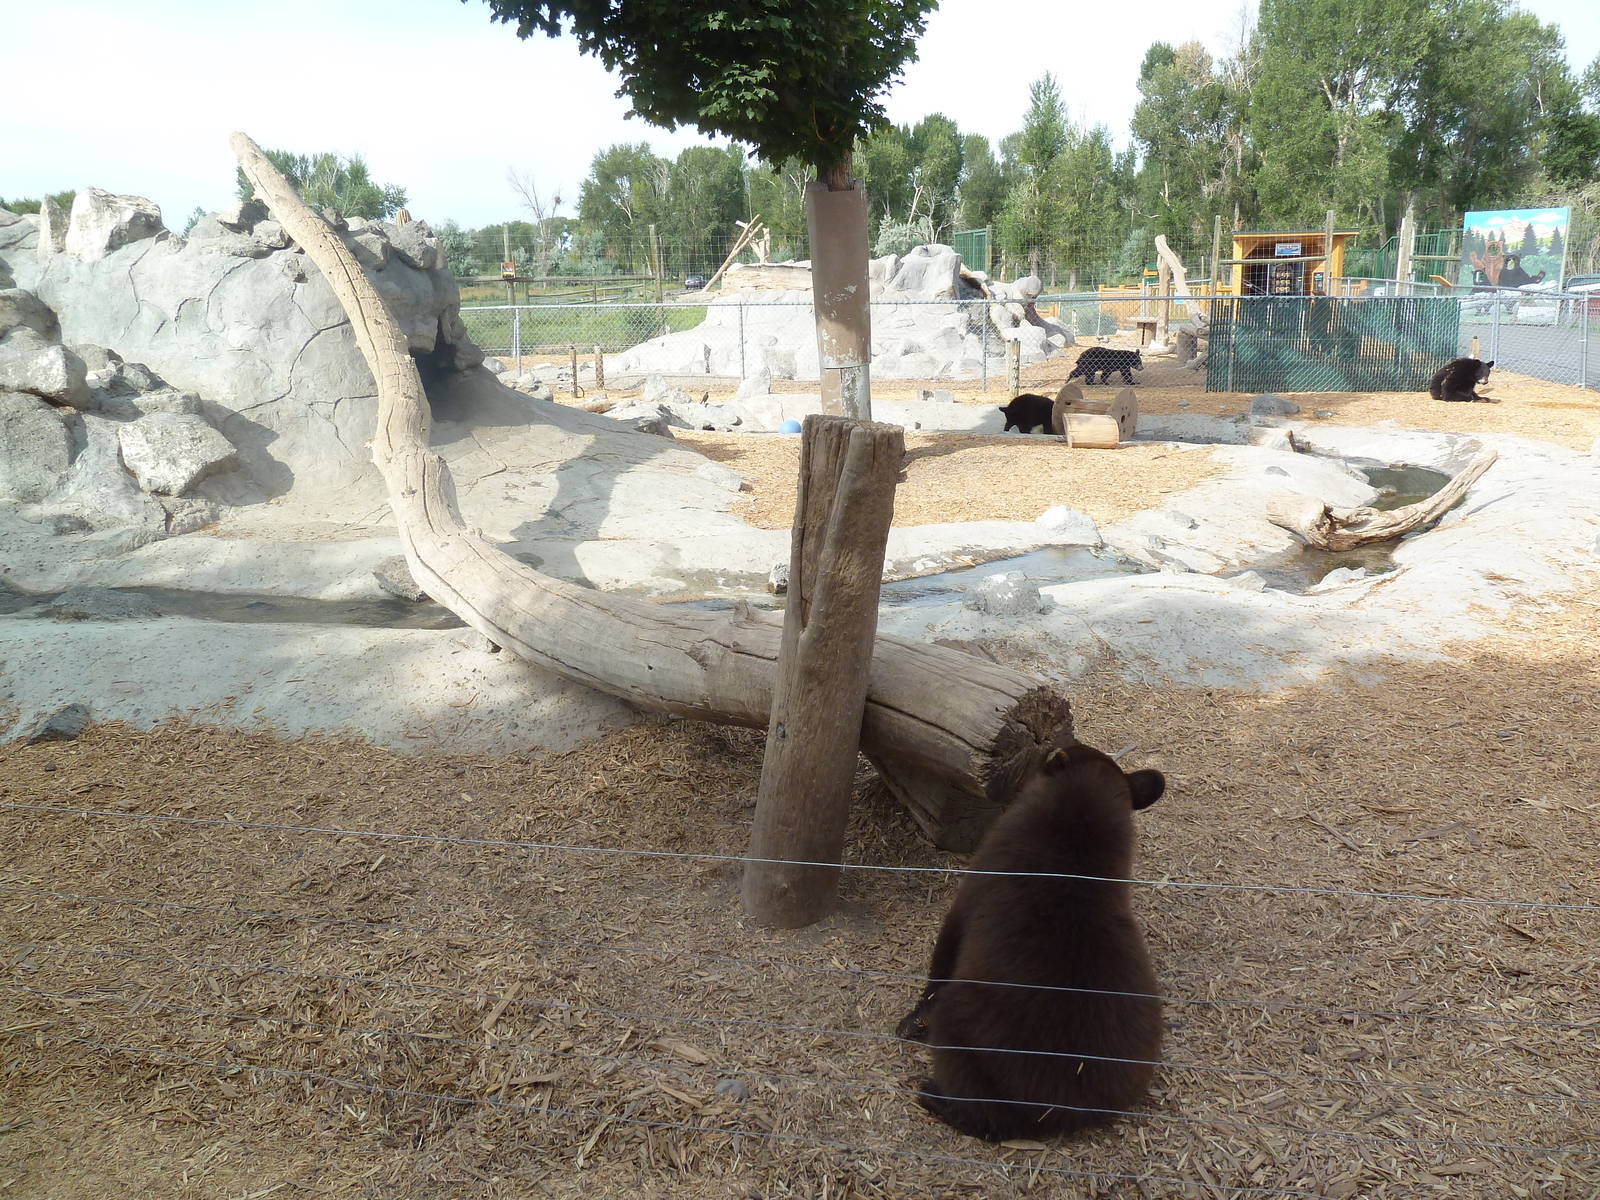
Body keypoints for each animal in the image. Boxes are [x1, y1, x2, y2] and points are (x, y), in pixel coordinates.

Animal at [897, 740, 1166, 1143]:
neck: (1073, 852)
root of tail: (1055, 1109)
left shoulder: (975, 886)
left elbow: (944, 956)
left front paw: (912, 1022)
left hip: (967, 1034)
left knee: (988, 1117)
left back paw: (935, 1096)